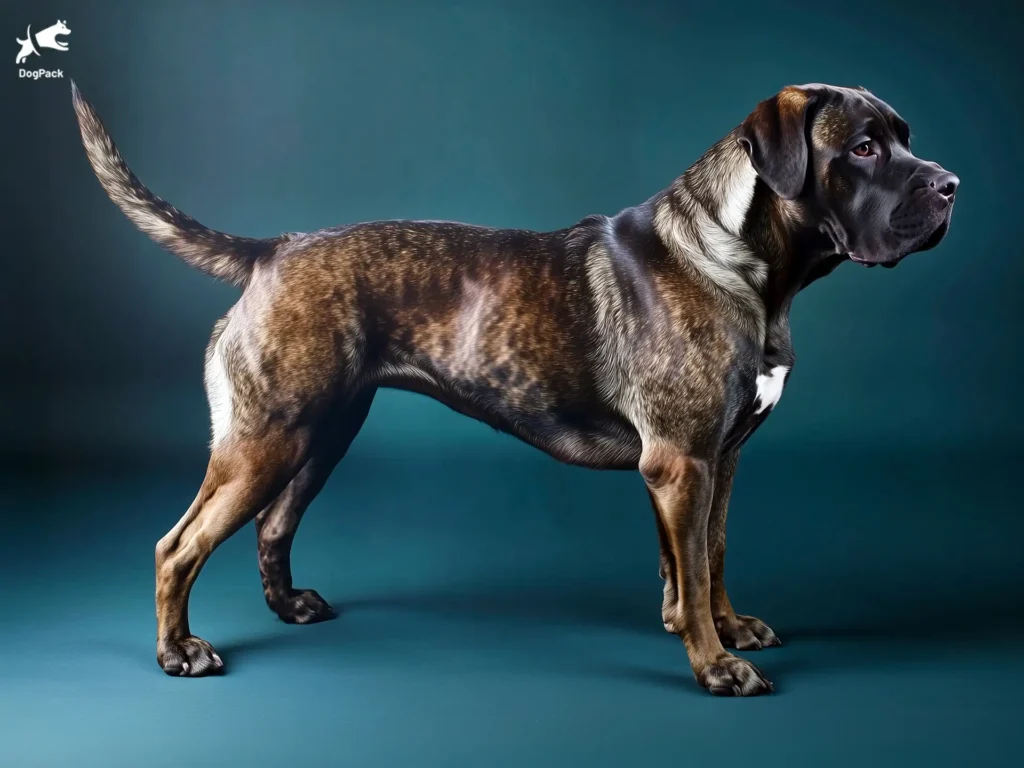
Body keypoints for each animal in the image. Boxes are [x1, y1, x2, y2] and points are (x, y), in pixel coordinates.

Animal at [72, 79, 958, 696]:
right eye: (865, 148)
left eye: (905, 138)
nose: (950, 184)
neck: (744, 261)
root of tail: (273, 251)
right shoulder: (684, 463)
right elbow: (695, 567)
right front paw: (716, 665)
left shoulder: (719, 461)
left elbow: (708, 555)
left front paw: (725, 627)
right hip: (265, 441)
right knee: (180, 544)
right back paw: (179, 652)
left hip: (320, 437)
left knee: (273, 526)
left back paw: (289, 608)